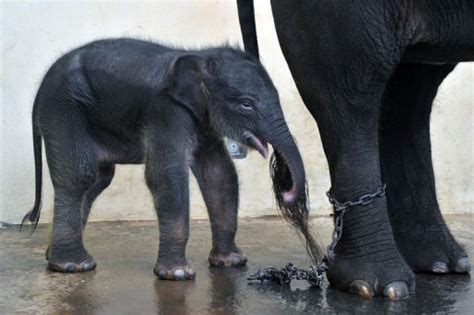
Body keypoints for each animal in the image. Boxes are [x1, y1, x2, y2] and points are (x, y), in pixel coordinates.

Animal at [23, 37, 308, 282]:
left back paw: (54, 256)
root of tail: (38, 95)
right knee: (80, 176)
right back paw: (73, 265)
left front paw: (231, 262)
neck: (199, 59)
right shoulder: (166, 112)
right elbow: (167, 177)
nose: (286, 192)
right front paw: (178, 274)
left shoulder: (202, 121)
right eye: (246, 104)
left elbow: (220, 174)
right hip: (64, 109)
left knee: (100, 179)